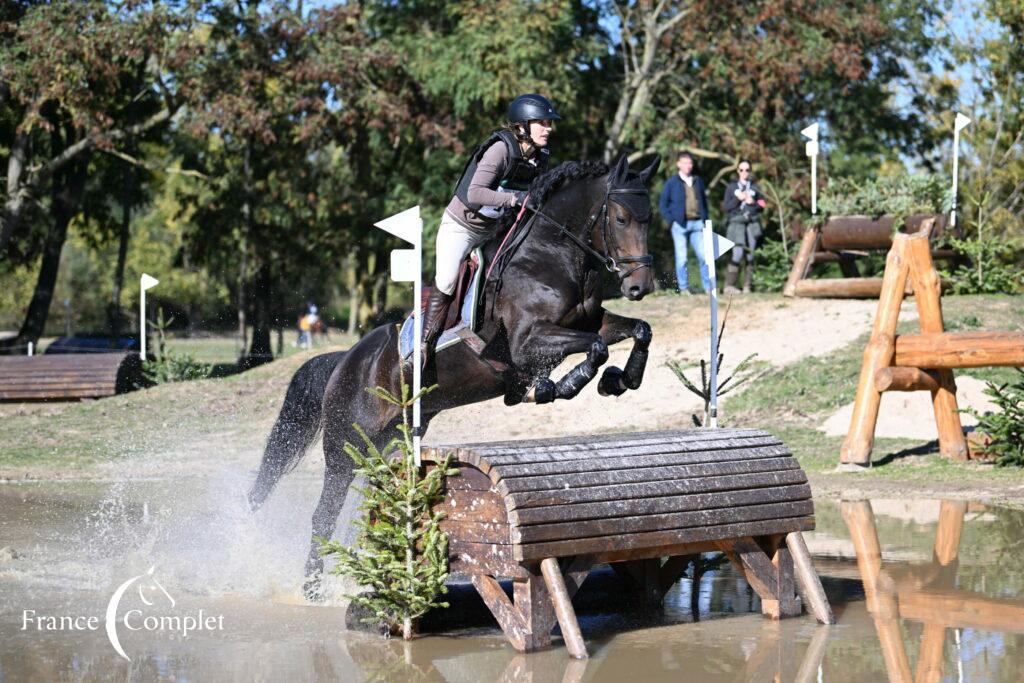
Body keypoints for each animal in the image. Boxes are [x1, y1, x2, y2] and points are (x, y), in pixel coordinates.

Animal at [248, 156, 663, 598]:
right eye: (621, 218)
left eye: (649, 219)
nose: (639, 287)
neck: (551, 255)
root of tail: (345, 361)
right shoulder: (526, 341)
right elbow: (595, 348)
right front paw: (562, 385)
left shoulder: (590, 321)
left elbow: (637, 330)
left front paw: (618, 380)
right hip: (345, 448)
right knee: (323, 515)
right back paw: (311, 588)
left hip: (388, 442)